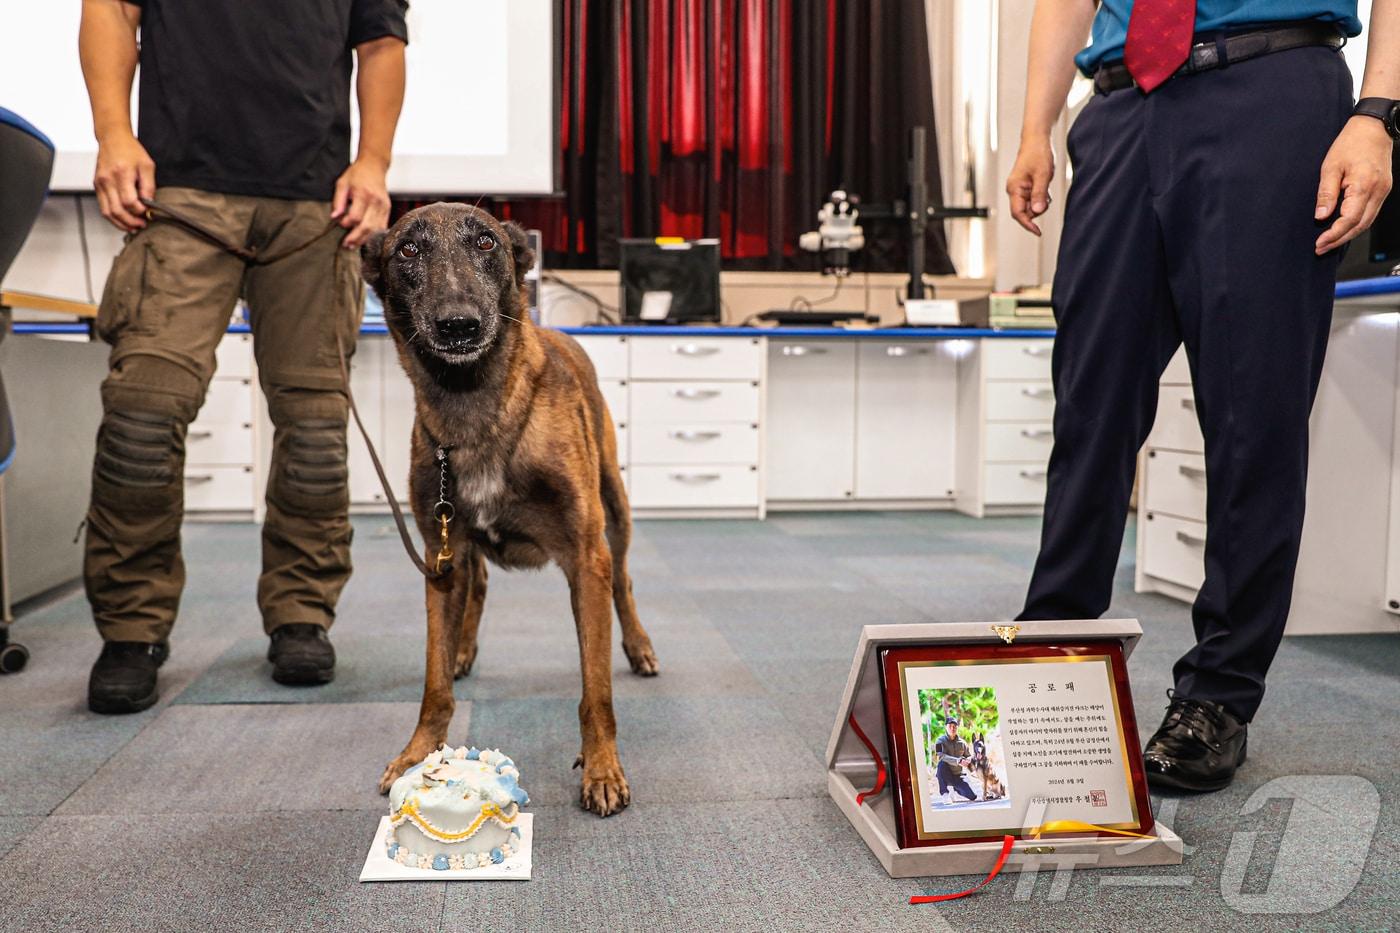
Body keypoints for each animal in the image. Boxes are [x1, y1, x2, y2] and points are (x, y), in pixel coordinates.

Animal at [361, 203, 655, 812]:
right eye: (408, 250)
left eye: (486, 242)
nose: (459, 324)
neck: (475, 412)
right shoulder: (440, 560)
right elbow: (433, 685)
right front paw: (417, 753)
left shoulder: (585, 558)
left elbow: (596, 691)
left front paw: (602, 768)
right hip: (457, 545)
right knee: (479, 585)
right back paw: (463, 648)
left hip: (615, 510)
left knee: (624, 580)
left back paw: (639, 646)